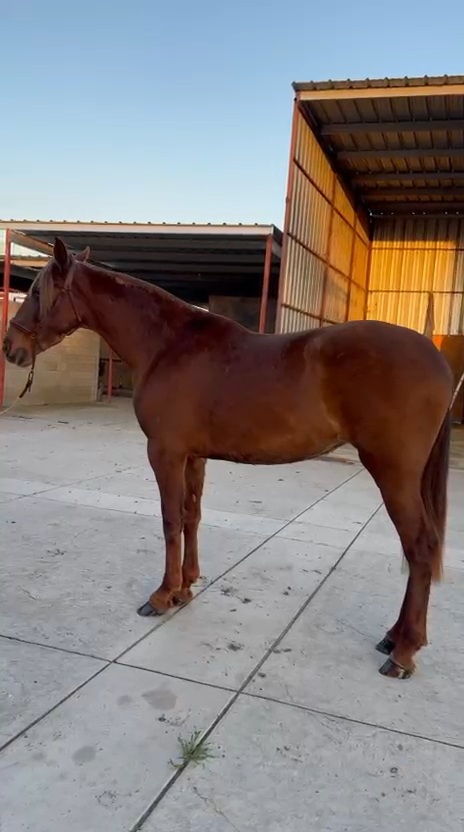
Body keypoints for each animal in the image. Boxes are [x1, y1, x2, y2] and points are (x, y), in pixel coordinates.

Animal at [3, 238, 453, 680]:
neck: (167, 346)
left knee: (420, 547)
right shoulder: (194, 457)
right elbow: (191, 516)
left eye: (38, 292)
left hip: (393, 472)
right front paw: (185, 588)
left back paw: (403, 652)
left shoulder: (165, 452)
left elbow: (170, 521)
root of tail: (437, 359)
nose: (11, 348)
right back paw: (394, 638)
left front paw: (162, 595)